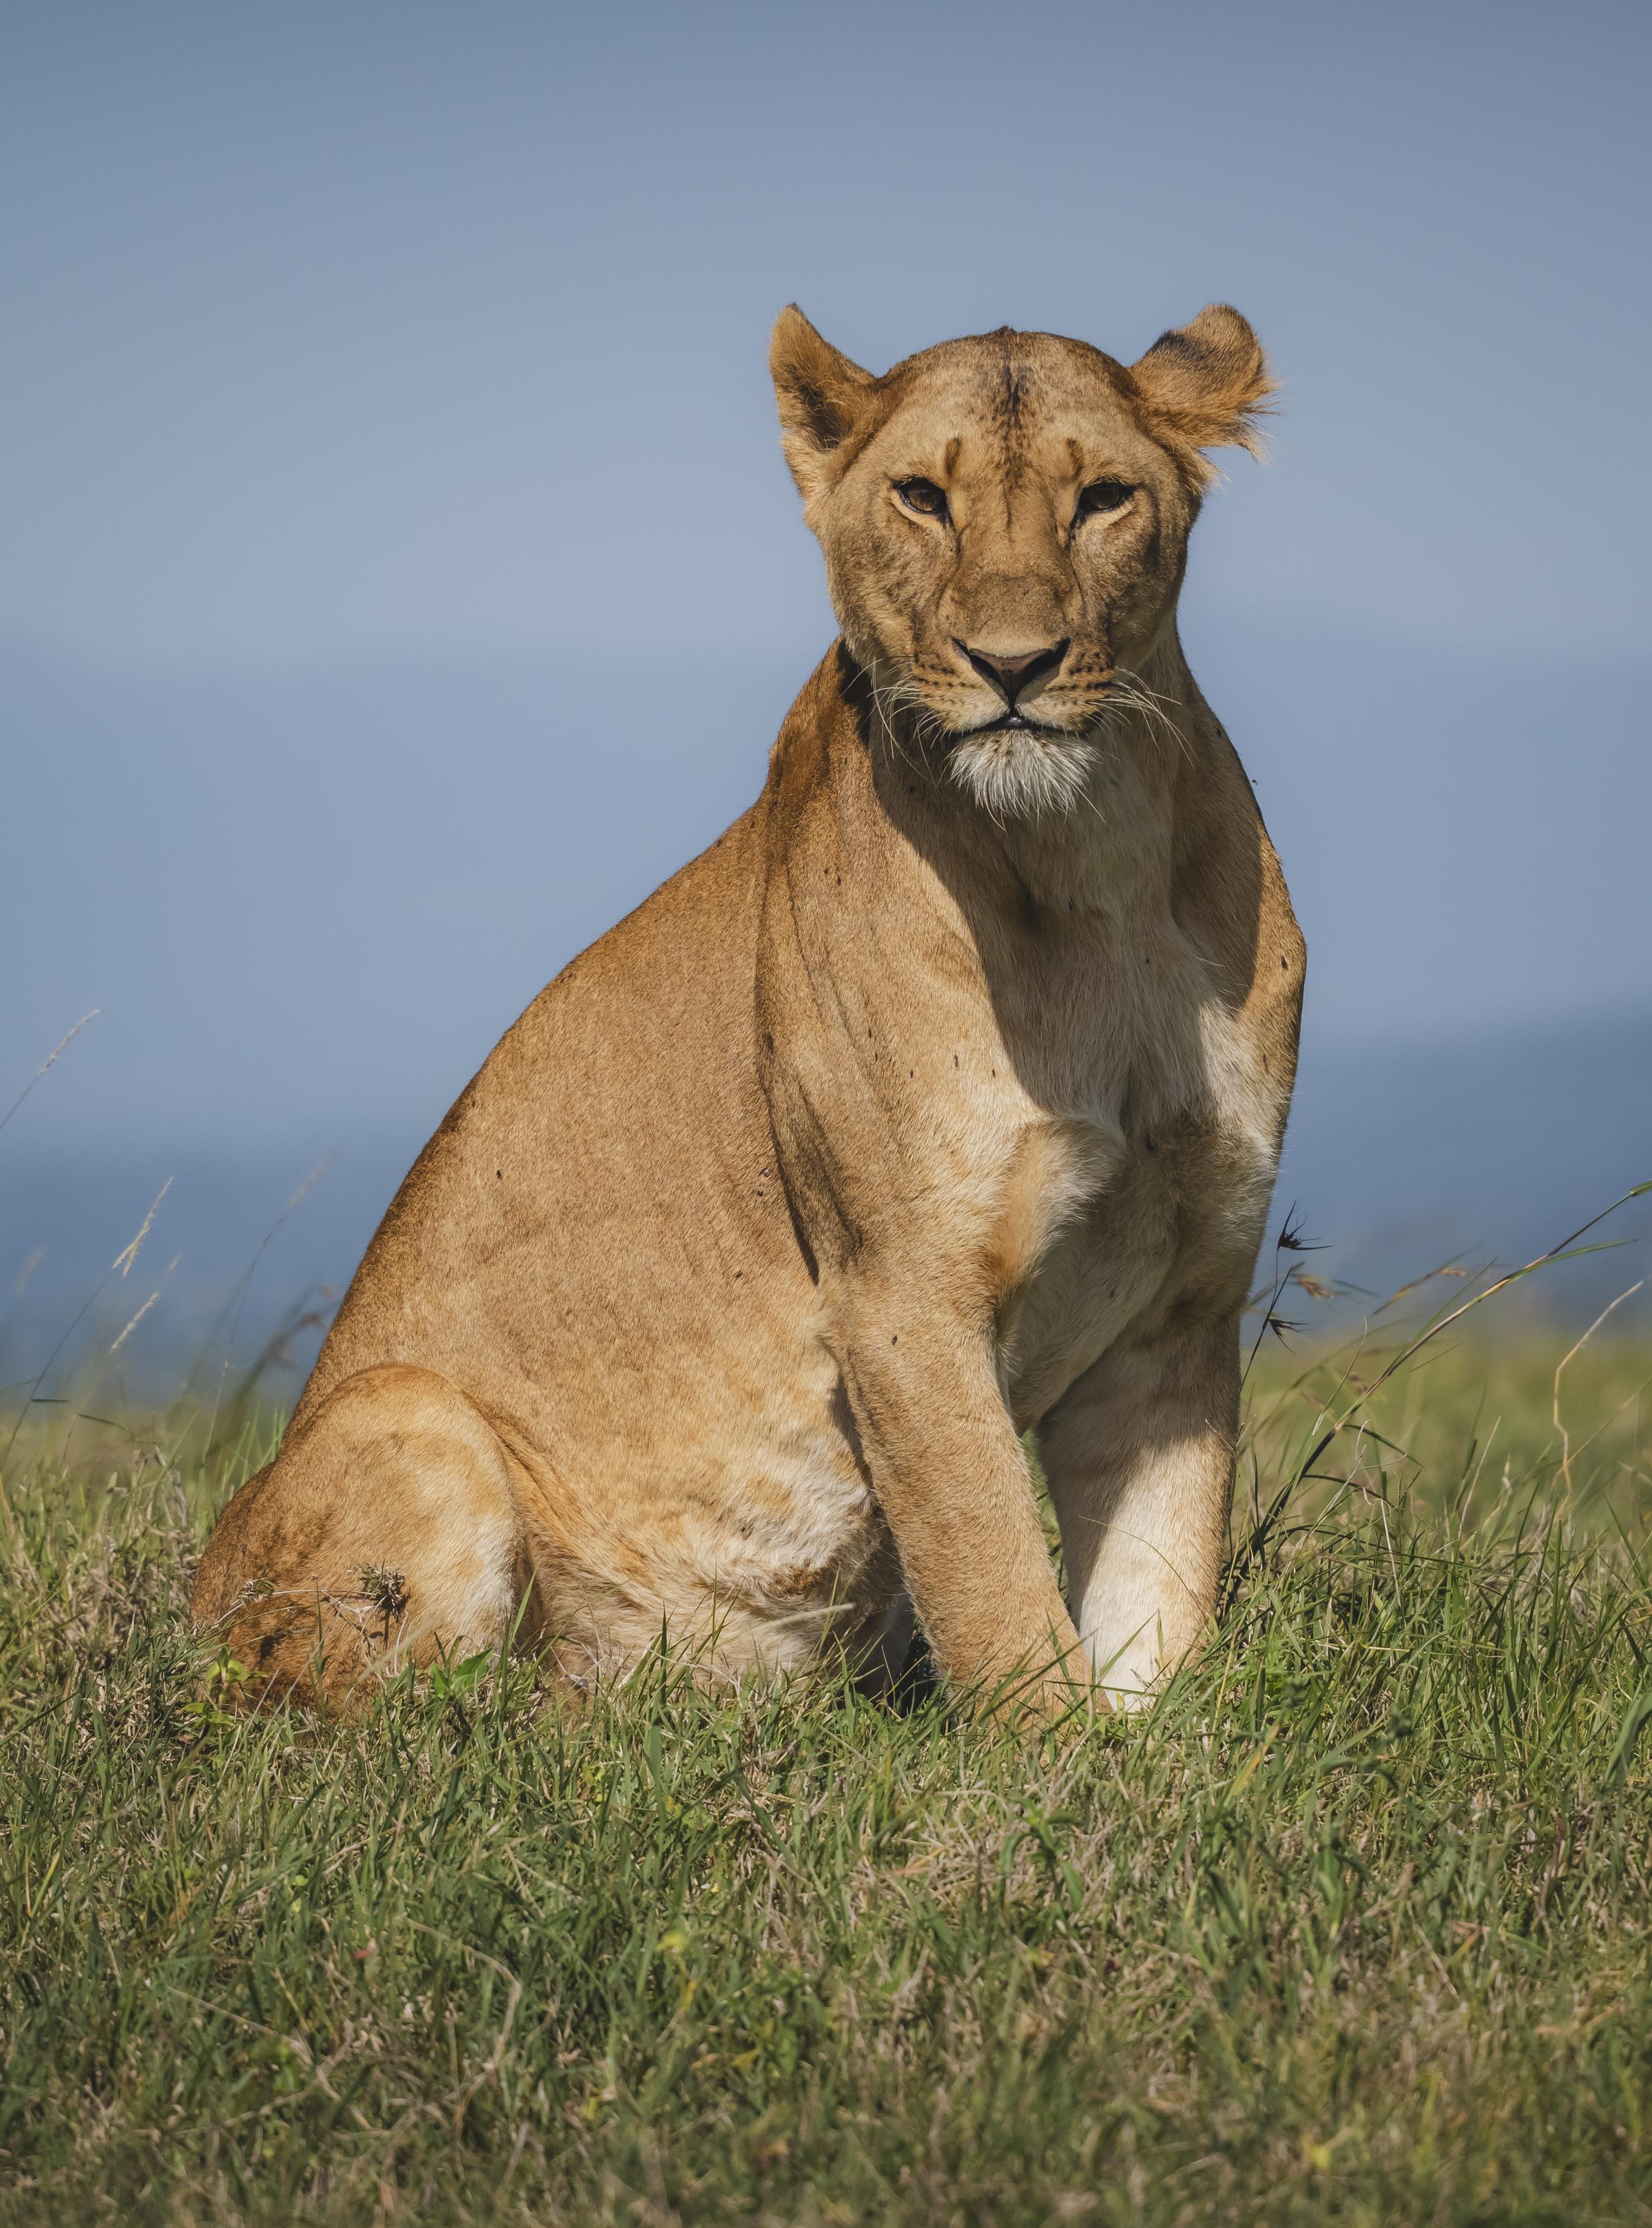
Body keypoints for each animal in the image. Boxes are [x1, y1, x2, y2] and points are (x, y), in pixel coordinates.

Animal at [192, 304, 1303, 1720]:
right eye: (922, 497)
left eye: (1105, 497)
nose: (1014, 667)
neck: (1089, 864)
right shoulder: (898, 1296)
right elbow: (996, 1581)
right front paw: (1054, 1768)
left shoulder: (1180, 1303)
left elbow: (1157, 1602)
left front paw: (1152, 1760)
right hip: (406, 1417)